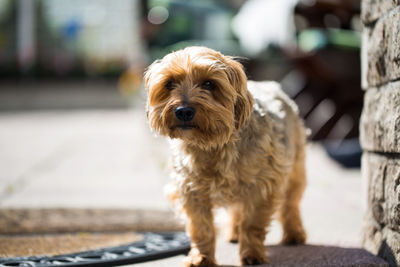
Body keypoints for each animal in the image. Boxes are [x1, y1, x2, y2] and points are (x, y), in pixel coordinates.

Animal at [144, 47, 306, 266]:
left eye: (209, 84)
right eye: (169, 83)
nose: (183, 111)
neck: (210, 146)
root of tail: (271, 84)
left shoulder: (262, 185)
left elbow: (252, 223)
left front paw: (252, 254)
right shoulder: (190, 190)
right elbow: (200, 227)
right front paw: (201, 257)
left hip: (295, 166)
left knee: (291, 202)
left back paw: (294, 233)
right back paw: (234, 233)